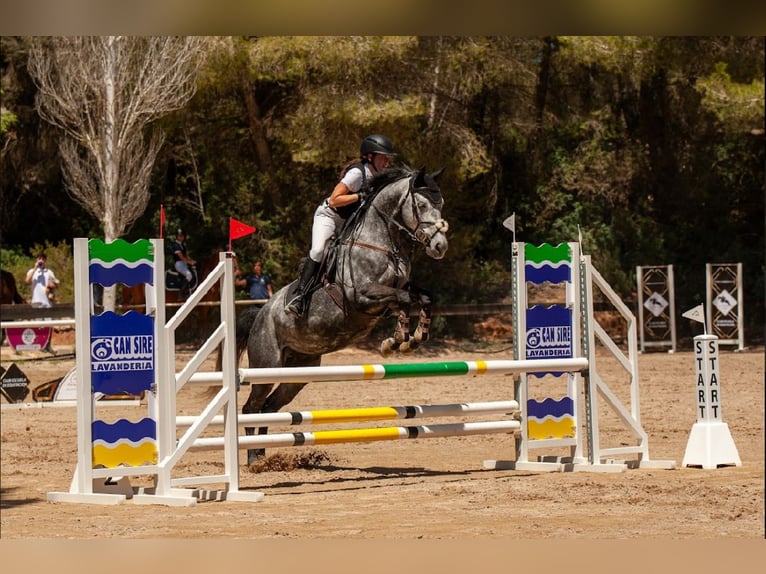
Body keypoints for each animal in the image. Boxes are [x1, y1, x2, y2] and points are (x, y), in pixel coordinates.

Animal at [231, 166, 449, 464]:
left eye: (441, 204)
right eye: (422, 205)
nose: (440, 246)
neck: (381, 243)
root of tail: (261, 315)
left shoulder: (389, 297)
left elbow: (423, 299)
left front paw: (410, 339)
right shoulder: (363, 297)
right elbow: (403, 301)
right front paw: (396, 341)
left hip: (299, 372)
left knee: (268, 406)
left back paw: (264, 456)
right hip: (267, 365)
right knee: (252, 406)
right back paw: (254, 459)